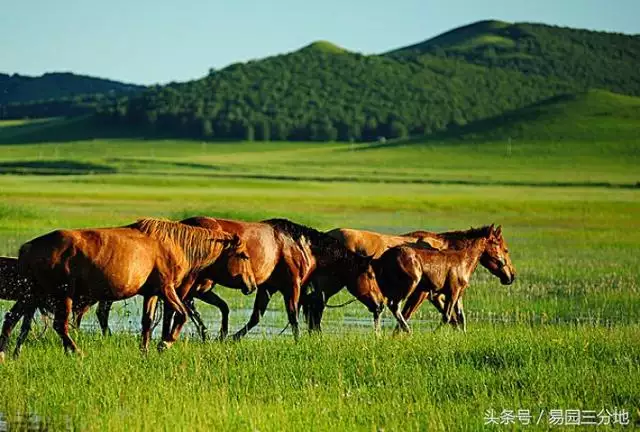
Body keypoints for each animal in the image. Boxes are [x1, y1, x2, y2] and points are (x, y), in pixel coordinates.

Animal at [0, 218, 255, 360]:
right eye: (243, 255)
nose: (251, 285)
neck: (175, 245)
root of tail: (27, 248)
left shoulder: (151, 293)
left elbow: (146, 323)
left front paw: (145, 351)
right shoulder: (167, 288)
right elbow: (181, 315)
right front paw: (165, 343)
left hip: (33, 294)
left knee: (12, 318)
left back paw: (6, 353)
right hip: (62, 295)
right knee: (59, 326)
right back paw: (77, 352)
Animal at [370, 224, 516, 332]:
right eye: (505, 249)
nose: (511, 276)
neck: (464, 260)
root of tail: (383, 257)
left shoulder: (458, 293)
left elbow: (460, 318)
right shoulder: (451, 292)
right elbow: (447, 317)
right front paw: (434, 334)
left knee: (382, 308)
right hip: (409, 285)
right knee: (394, 306)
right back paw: (408, 331)